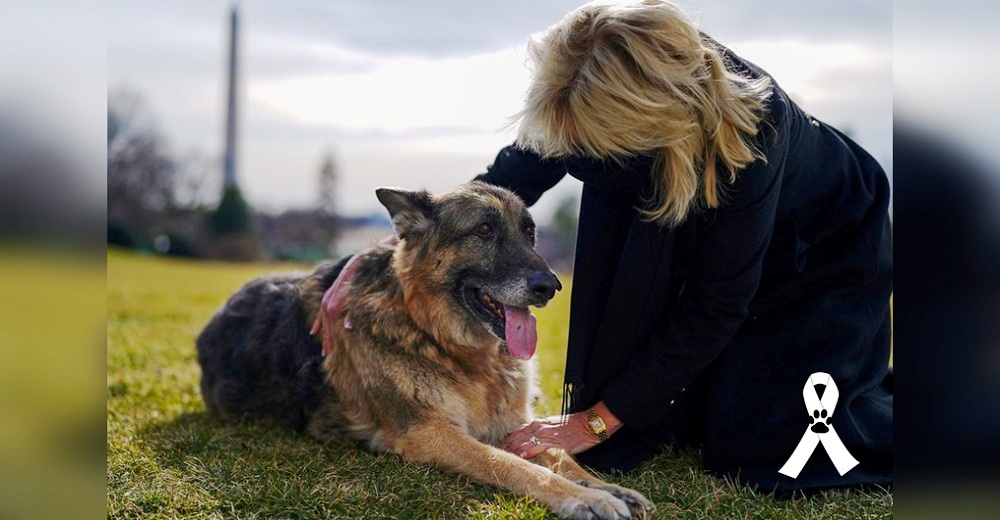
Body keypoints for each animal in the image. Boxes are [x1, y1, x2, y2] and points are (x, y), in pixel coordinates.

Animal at [196, 181, 656, 516]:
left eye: (529, 233)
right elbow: (514, 465)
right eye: (484, 230)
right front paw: (586, 498)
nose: (551, 286)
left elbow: (560, 455)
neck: (441, 338)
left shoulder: (516, 424)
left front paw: (606, 487)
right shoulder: (429, 432)